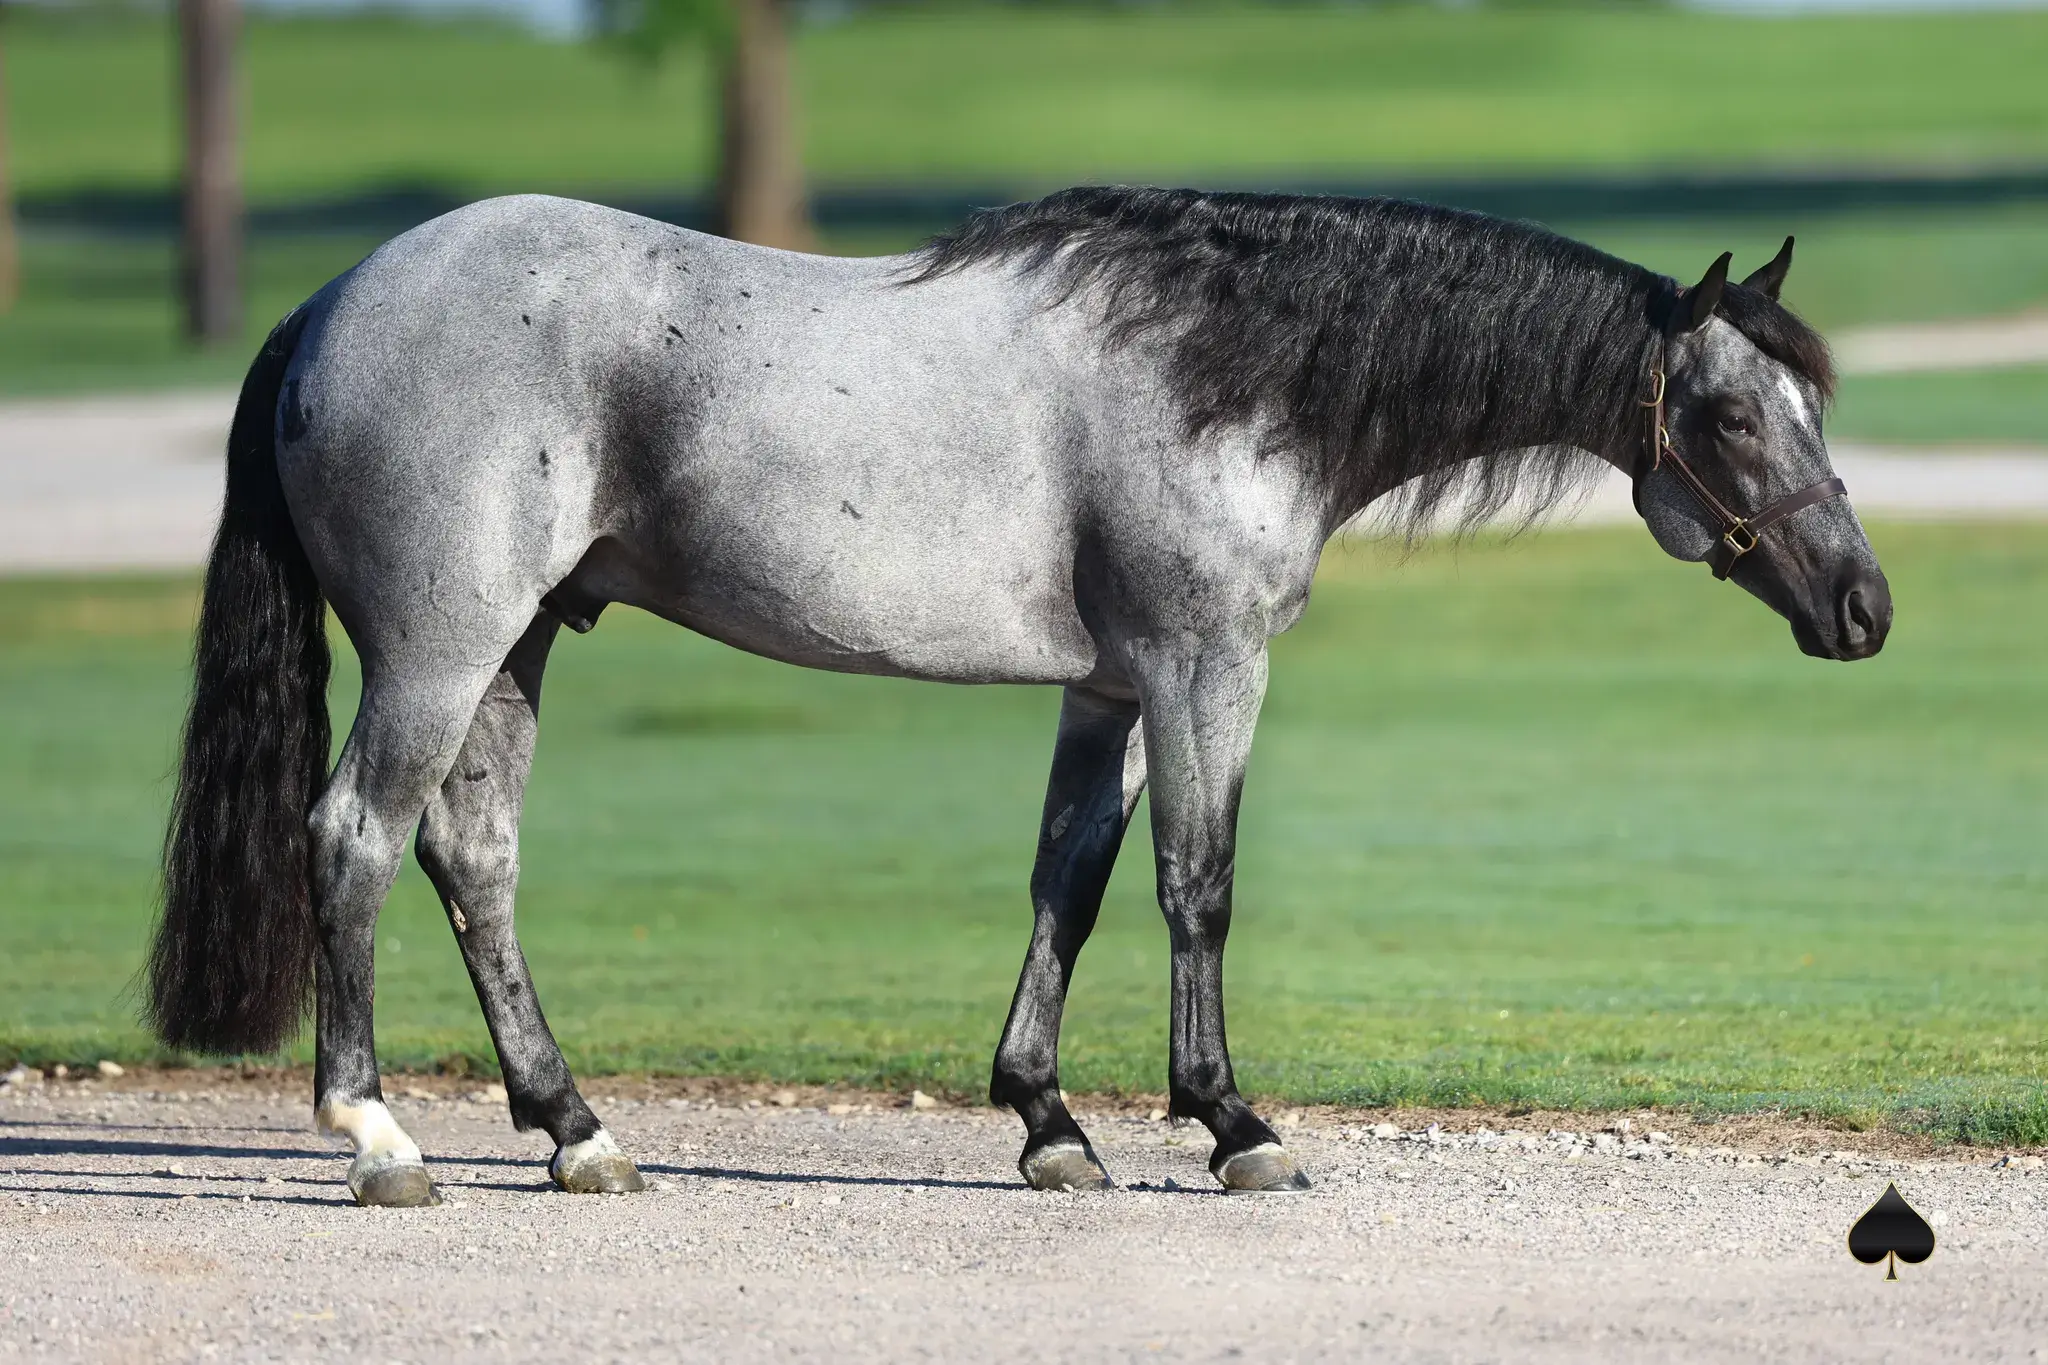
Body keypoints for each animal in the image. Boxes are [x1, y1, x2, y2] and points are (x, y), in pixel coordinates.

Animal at [145, 187, 1890, 1206]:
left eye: (1814, 402)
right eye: (1735, 415)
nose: (1863, 608)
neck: (1224, 370)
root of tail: (327, 306)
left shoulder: (1109, 689)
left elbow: (1073, 882)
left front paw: (1049, 1122)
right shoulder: (1203, 669)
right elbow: (1198, 886)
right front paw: (1232, 1124)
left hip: (517, 645)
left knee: (473, 859)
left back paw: (576, 1128)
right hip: (443, 648)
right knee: (357, 836)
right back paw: (377, 1136)